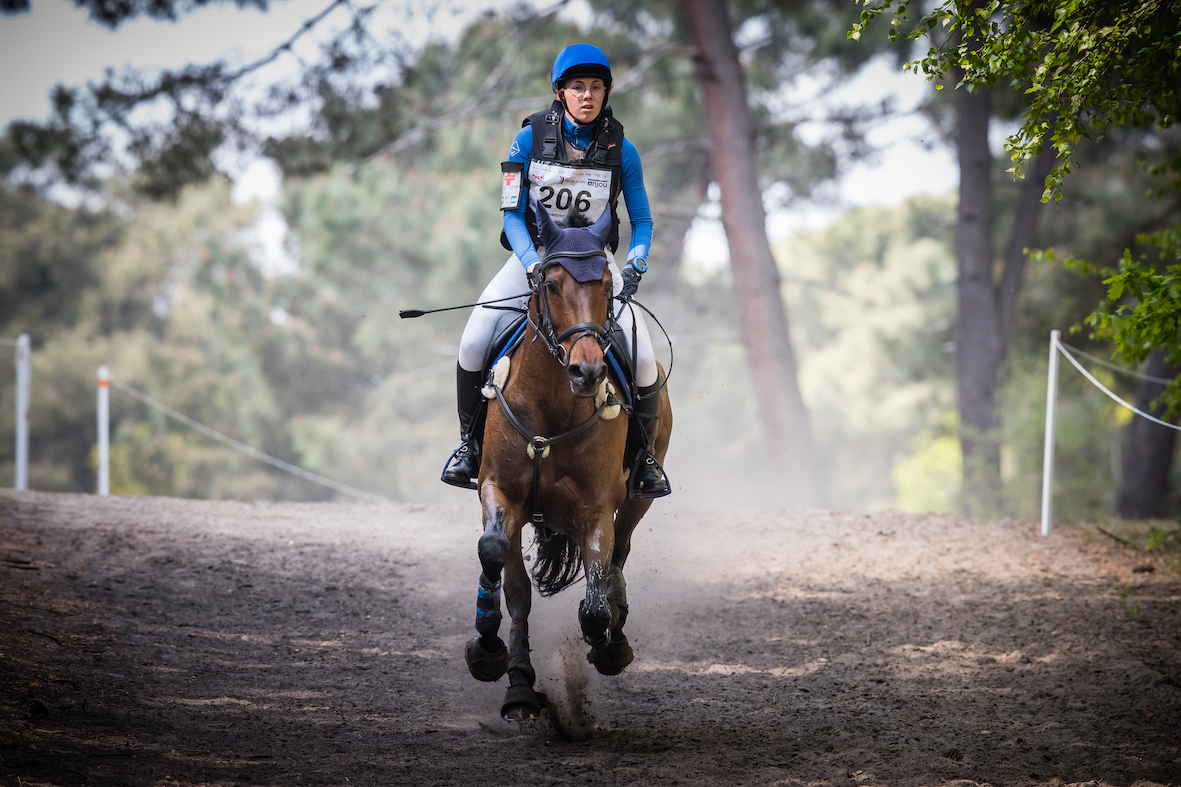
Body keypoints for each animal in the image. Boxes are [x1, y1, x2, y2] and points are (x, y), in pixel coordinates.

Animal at [462, 200, 675, 718]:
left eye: (607, 286)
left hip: (640, 496)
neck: (554, 407)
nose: (588, 371)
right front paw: (487, 652)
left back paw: (615, 626)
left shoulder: (595, 508)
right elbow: (495, 555)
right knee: (519, 591)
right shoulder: (498, 490)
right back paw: (518, 685)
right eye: (552, 285)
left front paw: (608, 643)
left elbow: (595, 602)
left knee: (620, 552)